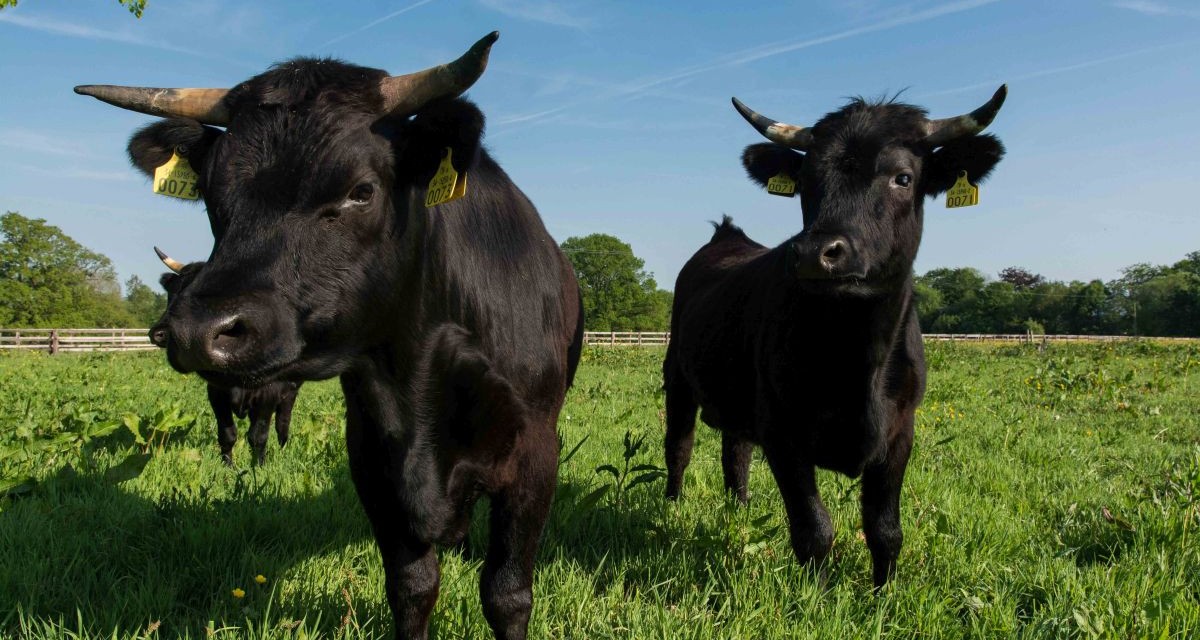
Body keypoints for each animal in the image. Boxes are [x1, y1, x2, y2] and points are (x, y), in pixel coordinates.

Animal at [151, 248, 302, 466]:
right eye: (170, 294)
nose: (158, 333)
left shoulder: (268, 395)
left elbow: (258, 435)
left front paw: (258, 466)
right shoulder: (216, 393)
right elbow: (227, 434)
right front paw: (228, 466)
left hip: (291, 391)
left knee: (283, 422)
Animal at [662, 87, 1007, 587]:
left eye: (903, 177)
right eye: (805, 179)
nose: (814, 253)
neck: (857, 356)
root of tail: (726, 236)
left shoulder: (901, 431)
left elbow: (885, 528)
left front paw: (883, 592)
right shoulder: (782, 430)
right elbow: (814, 527)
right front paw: (815, 593)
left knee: (736, 451)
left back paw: (739, 510)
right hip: (677, 378)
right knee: (679, 447)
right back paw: (671, 506)